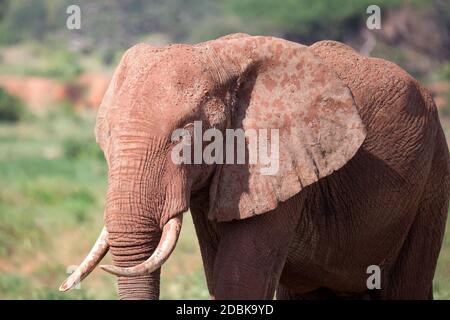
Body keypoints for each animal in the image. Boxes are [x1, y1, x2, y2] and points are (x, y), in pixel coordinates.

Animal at [59, 33, 450, 298]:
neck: (217, 57)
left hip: (433, 175)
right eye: (106, 139)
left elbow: (238, 280)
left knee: (408, 283)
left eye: (184, 137)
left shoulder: (278, 160)